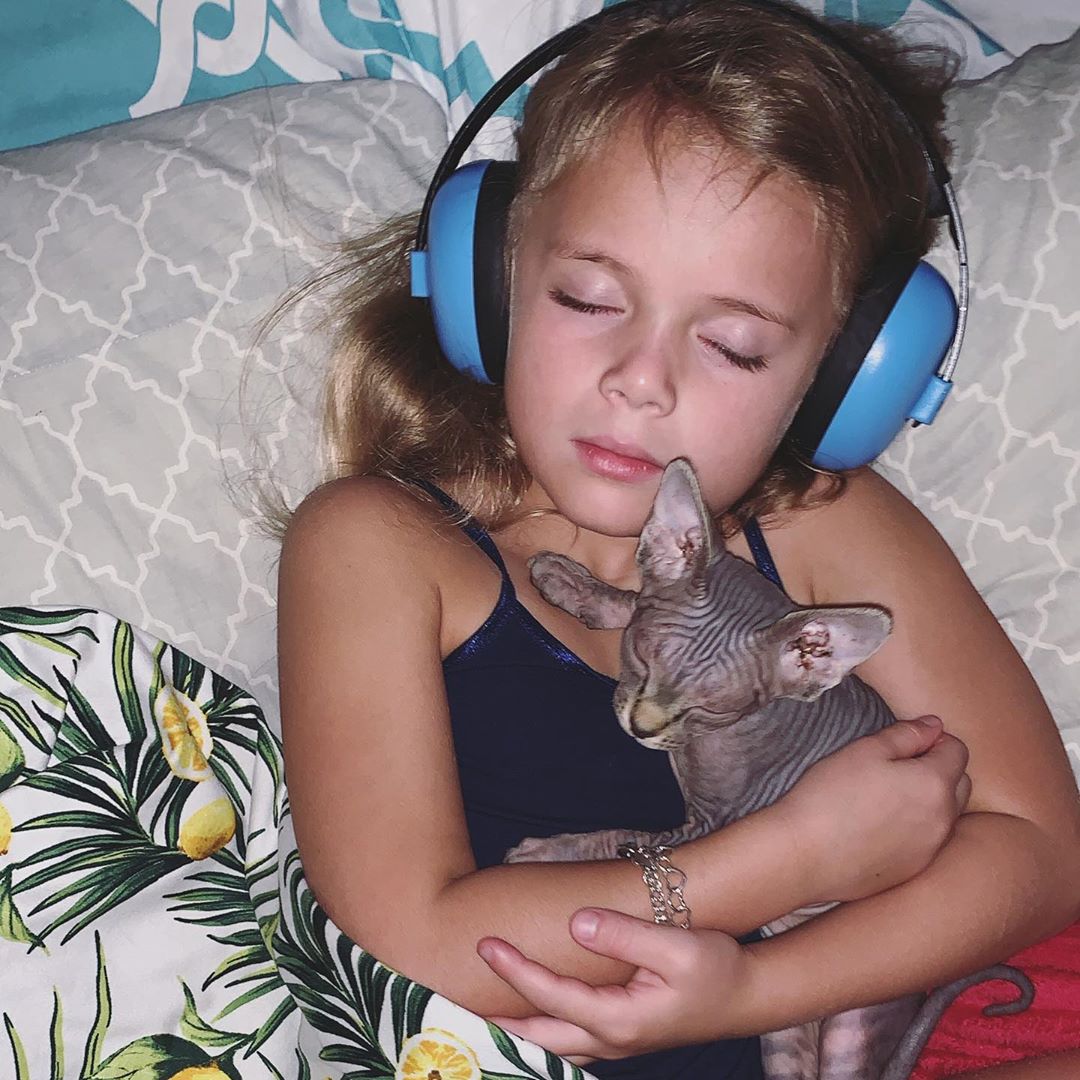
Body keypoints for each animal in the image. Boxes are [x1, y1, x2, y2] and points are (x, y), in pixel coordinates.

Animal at [509, 457, 1032, 1080]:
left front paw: (548, 855)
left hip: (858, 1024)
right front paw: (573, 584)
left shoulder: (715, 824)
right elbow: (636, 599)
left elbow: (627, 839)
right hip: (783, 1032)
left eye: (712, 706)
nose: (642, 725)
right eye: (641, 657)